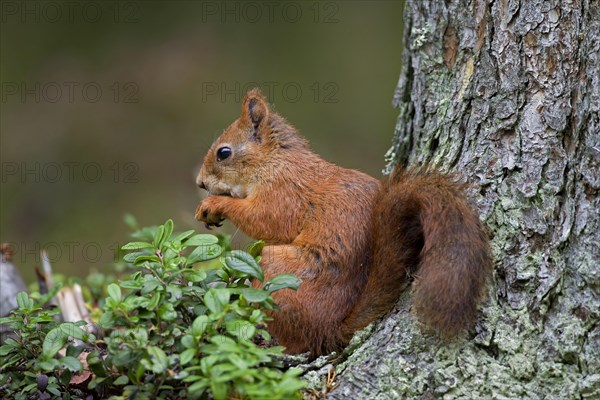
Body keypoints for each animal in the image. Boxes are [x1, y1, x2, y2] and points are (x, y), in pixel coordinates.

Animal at [196, 88, 492, 356]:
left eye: (224, 153)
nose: (200, 183)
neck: (274, 161)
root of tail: (331, 330)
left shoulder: (284, 193)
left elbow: (264, 220)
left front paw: (213, 205)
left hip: (275, 271)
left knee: (296, 341)